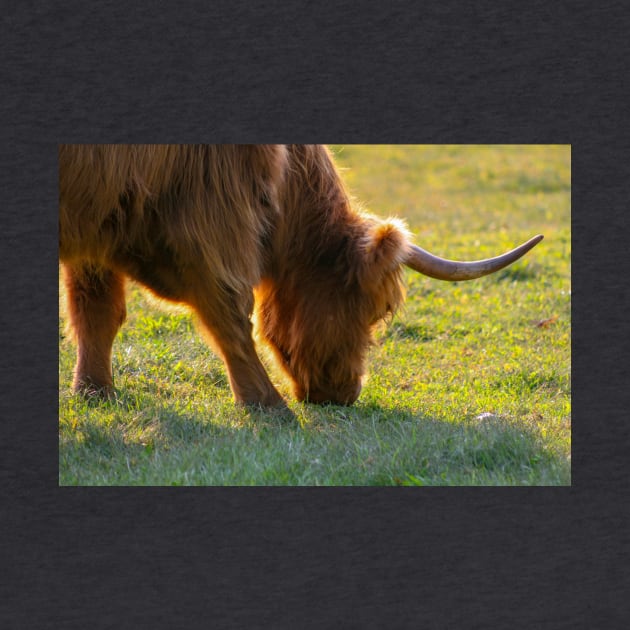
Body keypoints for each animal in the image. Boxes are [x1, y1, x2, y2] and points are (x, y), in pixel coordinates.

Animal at [59, 144, 544, 408]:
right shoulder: (213, 215)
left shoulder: (97, 224)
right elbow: (229, 312)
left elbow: (97, 313)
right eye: (374, 313)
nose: (346, 392)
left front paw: (94, 391)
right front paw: (268, 404)